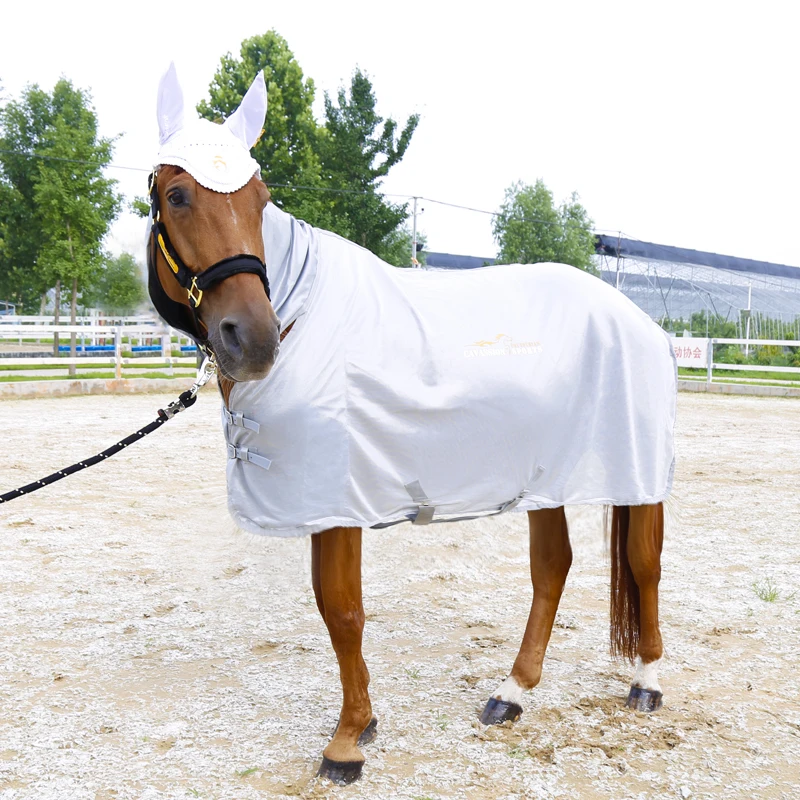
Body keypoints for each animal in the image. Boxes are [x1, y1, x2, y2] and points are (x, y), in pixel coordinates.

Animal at [145, 166, 668, 784]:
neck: (306, 315)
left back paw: (646, 682)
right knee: (552, 567)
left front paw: (347, 741)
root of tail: (636, 318)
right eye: (177, 196)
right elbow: (330, 607)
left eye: (260, 198)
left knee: (644, 564)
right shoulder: (322, 505)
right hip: (545, 479)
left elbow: (343, 611)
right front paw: (364, 721)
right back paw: (511, 693)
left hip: (639, 474)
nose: (252, 338)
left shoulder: (338, 503)